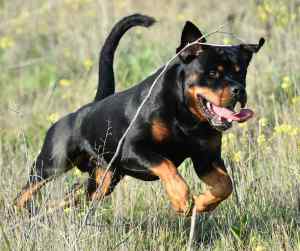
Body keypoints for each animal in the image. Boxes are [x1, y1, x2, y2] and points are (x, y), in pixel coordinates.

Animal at [15, 13, 264, 216]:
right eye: (212, 73)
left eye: (240, 73)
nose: (238, 90)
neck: (186, 116)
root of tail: (84, 110)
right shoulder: (132, 149)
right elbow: (166, 164)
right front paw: (182, 199)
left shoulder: (207, 159)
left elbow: (225, 185)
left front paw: (203, 203)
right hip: (51, 163)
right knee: (23, 193)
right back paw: (16, 215)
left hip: (103, 181)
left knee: (72, 196)